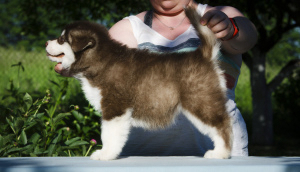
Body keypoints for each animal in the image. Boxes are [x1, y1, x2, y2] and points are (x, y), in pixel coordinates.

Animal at [45, 6, 232, 160]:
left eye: (61, 39)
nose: (46, 42)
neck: (100, 61)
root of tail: (203, 55)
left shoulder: (115, 107)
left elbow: (108, 134)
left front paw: (105, 154)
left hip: (200, 101)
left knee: (221, 124)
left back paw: (221, 153)